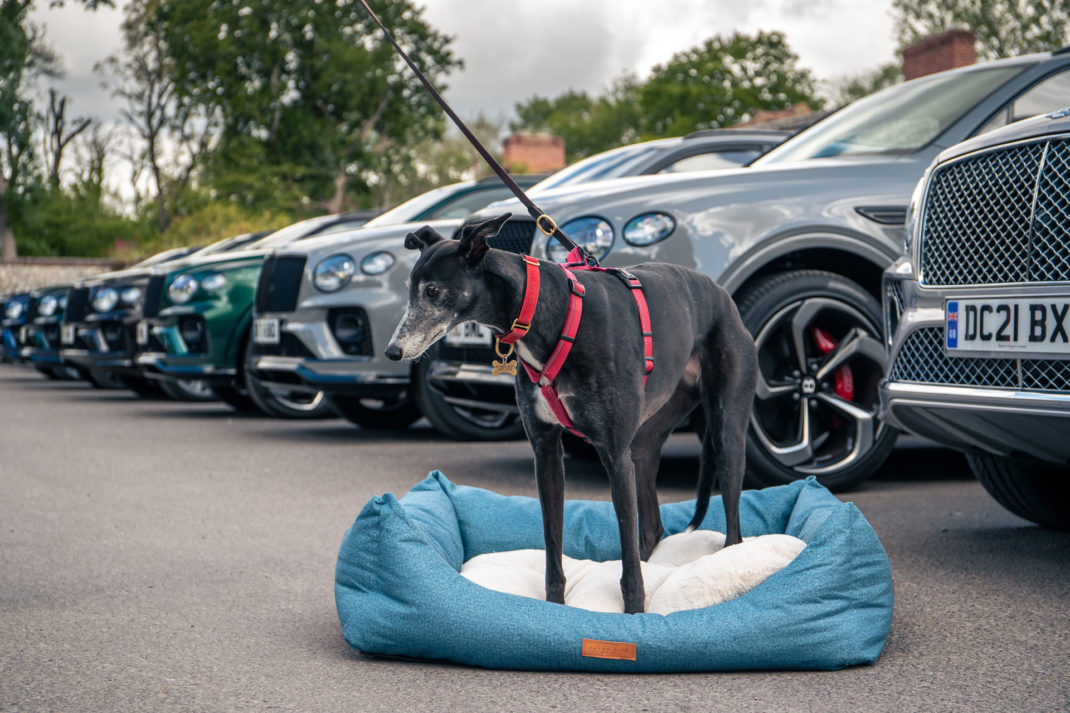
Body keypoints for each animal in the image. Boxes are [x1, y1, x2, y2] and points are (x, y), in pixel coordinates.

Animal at [389, 210, 757, 612]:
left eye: (433, 291)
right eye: (410, 289)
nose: (393, 351)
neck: (545, 312)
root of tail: (723, 297)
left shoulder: (614, 454)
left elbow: (627, 556)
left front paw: (634, 614)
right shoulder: (547, 452)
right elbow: (553, 545)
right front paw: (556, 607)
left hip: (726, 430)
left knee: (732, 528)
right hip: (644, 444)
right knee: (652, 526)